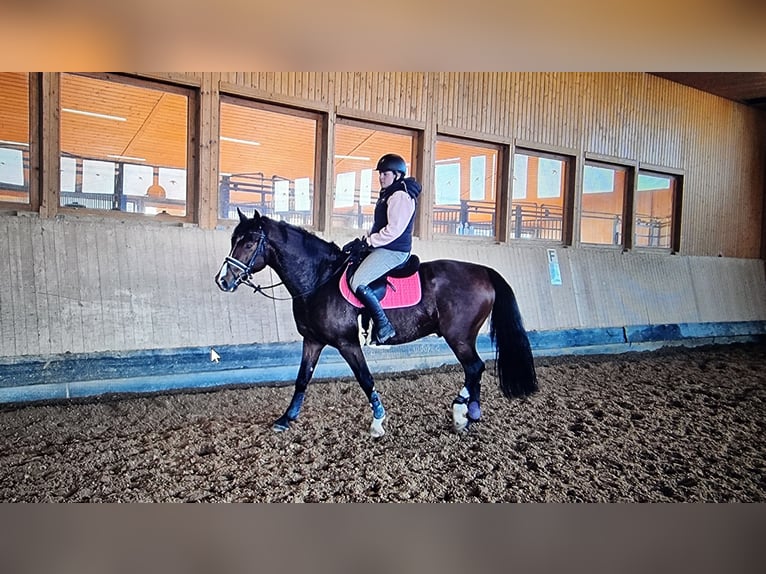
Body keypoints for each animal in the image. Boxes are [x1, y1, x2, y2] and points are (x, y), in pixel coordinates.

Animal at [215, 208, 538, 437]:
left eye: (250, 242)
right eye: (233, 241)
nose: (223, 281)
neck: (320, 279)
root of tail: (484, 271)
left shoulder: (347, 343)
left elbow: (365, 378)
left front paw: (378, 422)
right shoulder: (313, 341)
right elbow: (302, 379)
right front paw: (285, 419)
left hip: (458, 336)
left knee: (475, 367)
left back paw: (464, 414)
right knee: (475, 370)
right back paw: (468, 415)